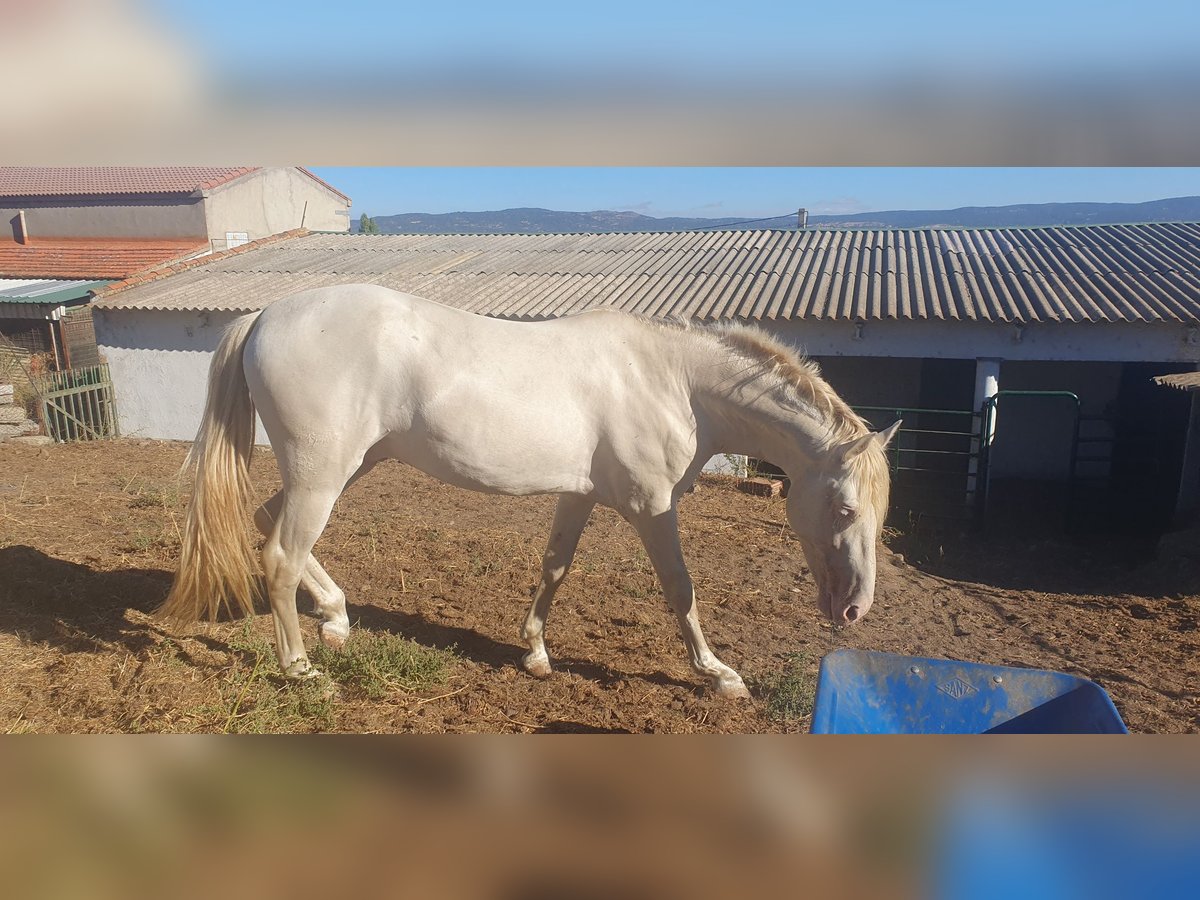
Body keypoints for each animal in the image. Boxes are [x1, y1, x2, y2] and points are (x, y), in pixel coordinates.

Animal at [166, 285, 902, 700]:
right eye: (843, 508)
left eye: (877, 515)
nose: (856, 608)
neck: (672, 380)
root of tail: (265, 315)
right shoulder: (650, 507)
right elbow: (680, 590)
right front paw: (718, 674)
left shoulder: (580, 496)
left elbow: (555, 567)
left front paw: (537, 653)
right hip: (324, 473)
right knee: (279, 558)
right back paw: (299, 670)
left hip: (345, 466)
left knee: (268, 522)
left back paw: (338, 616)